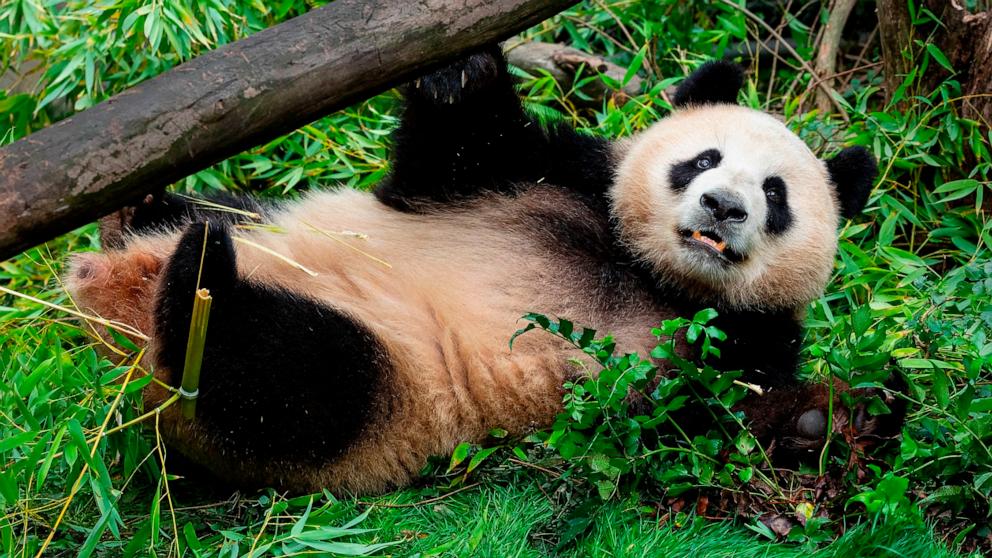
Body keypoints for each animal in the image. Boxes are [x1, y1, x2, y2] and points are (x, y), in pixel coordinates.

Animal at [66, 47, 896, 494]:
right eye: (703, 159)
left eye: (775, 194)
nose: (723, 207)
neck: (650, 273)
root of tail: (114, 302)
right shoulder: (550, 177)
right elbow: (450, 158)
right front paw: (460, 72)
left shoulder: (732, 342)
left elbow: (697, 426)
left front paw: (830, 418)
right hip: (266, 222)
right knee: (217, 219)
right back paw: (143, 216)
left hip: (386, 393)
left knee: (286, 377)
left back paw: (196, 291)